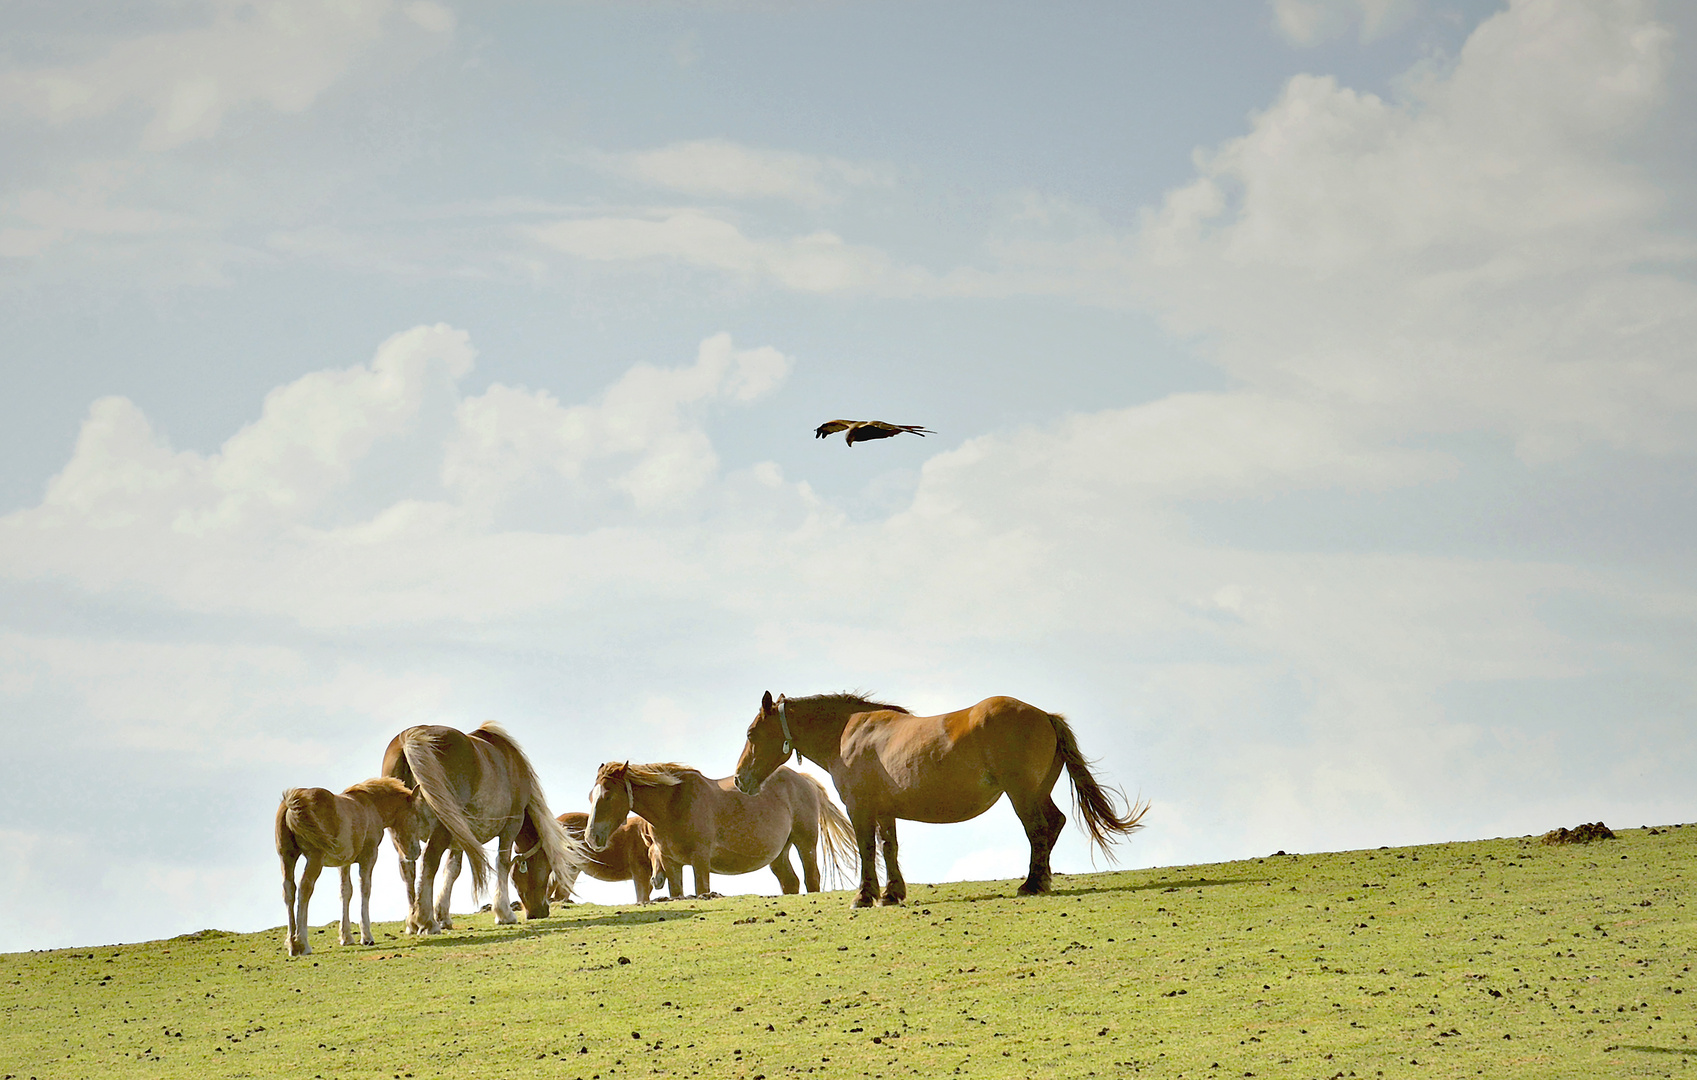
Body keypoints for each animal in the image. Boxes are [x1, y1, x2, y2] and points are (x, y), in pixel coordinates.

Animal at [274, 777, 417, 950]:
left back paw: (292, 943)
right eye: (416, 815)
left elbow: (346, 891)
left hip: (286, 857)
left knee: (289, 889)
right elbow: (365, 889)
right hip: (314, 858)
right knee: (305, 888)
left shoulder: (344, 862)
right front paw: (366, 936)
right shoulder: (369, 856)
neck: (371, 805)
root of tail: (292, 803)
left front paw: (346, 937)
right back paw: (302, 943)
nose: (416, 852)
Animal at [381, 726, 580, 937]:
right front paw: (504, 914)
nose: (541, 911)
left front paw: (443, 916)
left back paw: (413, 922)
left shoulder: (459, 837)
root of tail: (410, 738)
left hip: (402, 835)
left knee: (407, 868)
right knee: (428, 864)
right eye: (547, 869)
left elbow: (452, 870)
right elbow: (503, 863)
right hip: (440, 830)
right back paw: (426, 921)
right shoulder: (512, 824)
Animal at [587, 764, 855, 896]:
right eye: (591, 795)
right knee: (791, 882)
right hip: (779, 854)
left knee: (812, 878)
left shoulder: (700, 860)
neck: (673, 803)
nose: (591, 837)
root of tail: (802, 779)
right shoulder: (671, 862)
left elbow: (702, 890)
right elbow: (678, 893)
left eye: (608, 796)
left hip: (805, 843)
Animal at [733, 692, 1147, 903]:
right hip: (1037, 791)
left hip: (1021, 793)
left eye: (752, 733)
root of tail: (1044, 715)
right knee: (1054, 824)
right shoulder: (884, 810)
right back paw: (1039, 879)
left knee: (1038, 830)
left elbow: (868, 849)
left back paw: (1032, 884)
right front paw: (892, 893)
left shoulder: (860, 808)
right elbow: (889, 848)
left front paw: (865, 896)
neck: (848, 733)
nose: (739, 779)